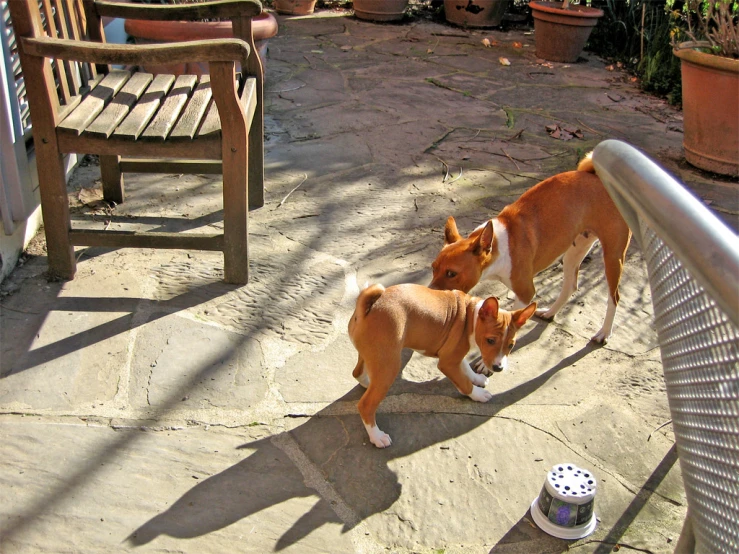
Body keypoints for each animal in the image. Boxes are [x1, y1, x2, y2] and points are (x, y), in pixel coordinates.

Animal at [350, 282, 536, 446]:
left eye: (511, 345)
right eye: (490, 340)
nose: (498, 368)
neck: (471, 317)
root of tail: (368, 309)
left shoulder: (455, 355)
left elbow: (465, 367)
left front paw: (477, 378)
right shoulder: (447, 362)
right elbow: (463, 382)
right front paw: (477, 394)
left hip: (371, 356)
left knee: (357, 373)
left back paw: (367, 383)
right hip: (389, 365)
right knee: (365, 405)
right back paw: (377, 437)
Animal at [428, 155, 632, 342]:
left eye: (451, 273)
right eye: (433, 268)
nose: (429, 294)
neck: (501, 246)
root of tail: (599, 178)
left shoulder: (525, 294)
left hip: (612, 258)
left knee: (614, 297)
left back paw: (604, 333)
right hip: (574, 252)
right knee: (570, 286)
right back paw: (550, 312)